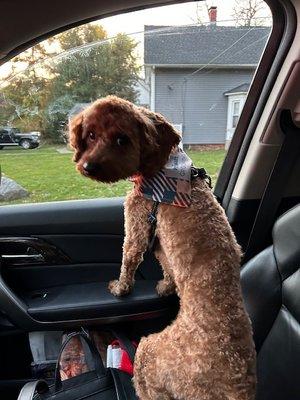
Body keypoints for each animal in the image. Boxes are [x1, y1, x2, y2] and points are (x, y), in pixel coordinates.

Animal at [69, 95, 255, 398]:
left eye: (122, 139)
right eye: (92, 135)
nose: (88, 166)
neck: (163, 170)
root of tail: (237, 384)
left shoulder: (138, 222)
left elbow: (129, 259)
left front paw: (120, 289)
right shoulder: (160, 241)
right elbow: (166, 266)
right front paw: (167, 287)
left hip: (152, 352)